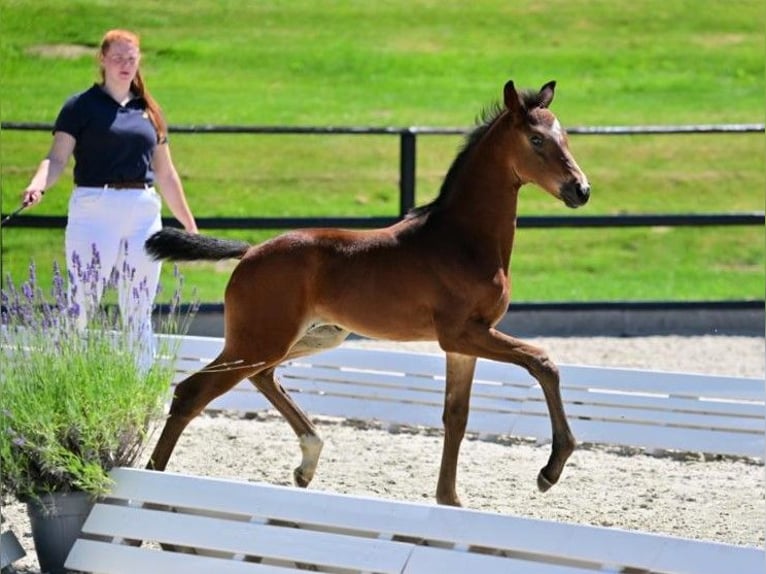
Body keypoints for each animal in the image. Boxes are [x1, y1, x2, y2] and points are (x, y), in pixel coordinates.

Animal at [148, 79, 592, 506]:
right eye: (536, 140)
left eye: (565, 136)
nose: (581, 190)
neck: (463, 241)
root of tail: (250, 251)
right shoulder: (462, 333)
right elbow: (542, 362)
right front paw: (550, 470)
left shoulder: (464, 345)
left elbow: (456, 416)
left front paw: (449, 500)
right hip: (259, 341)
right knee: (192, 392)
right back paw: (152, 479)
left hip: (309, 337)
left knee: (261, 377)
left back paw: (307, 462)